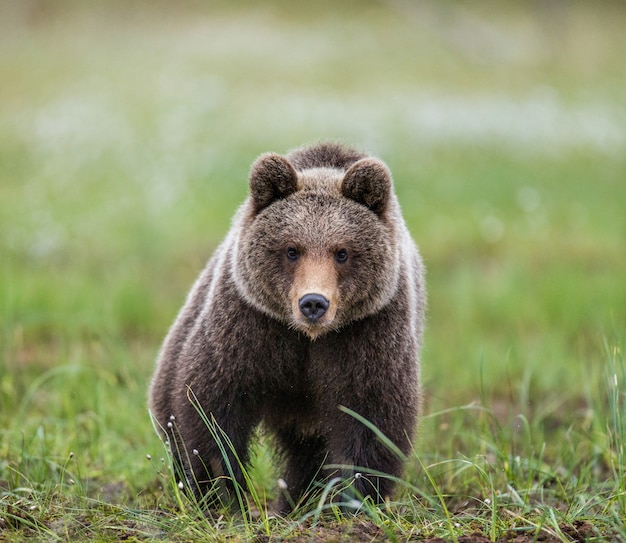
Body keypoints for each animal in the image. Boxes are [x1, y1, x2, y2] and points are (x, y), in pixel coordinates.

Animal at [150, 142, 424, 512]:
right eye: (292, 249)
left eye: (342, 252)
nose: (313, 303)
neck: (308, 338)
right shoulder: (250, 326)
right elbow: (212, 407)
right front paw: (221, 492)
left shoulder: (367, 334)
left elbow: (371, 418)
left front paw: (351, 499)